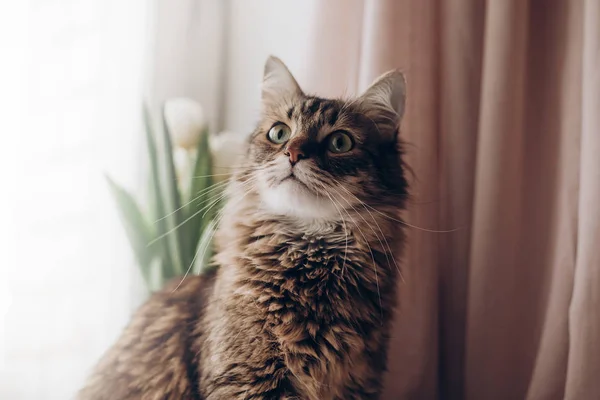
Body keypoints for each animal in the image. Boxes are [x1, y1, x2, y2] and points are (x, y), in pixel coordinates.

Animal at [78, 57, 408, 400]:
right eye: (279, 133)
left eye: (340, 142)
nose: (293, 153)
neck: (308, 256)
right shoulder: (249, 380)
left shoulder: (360, 382)